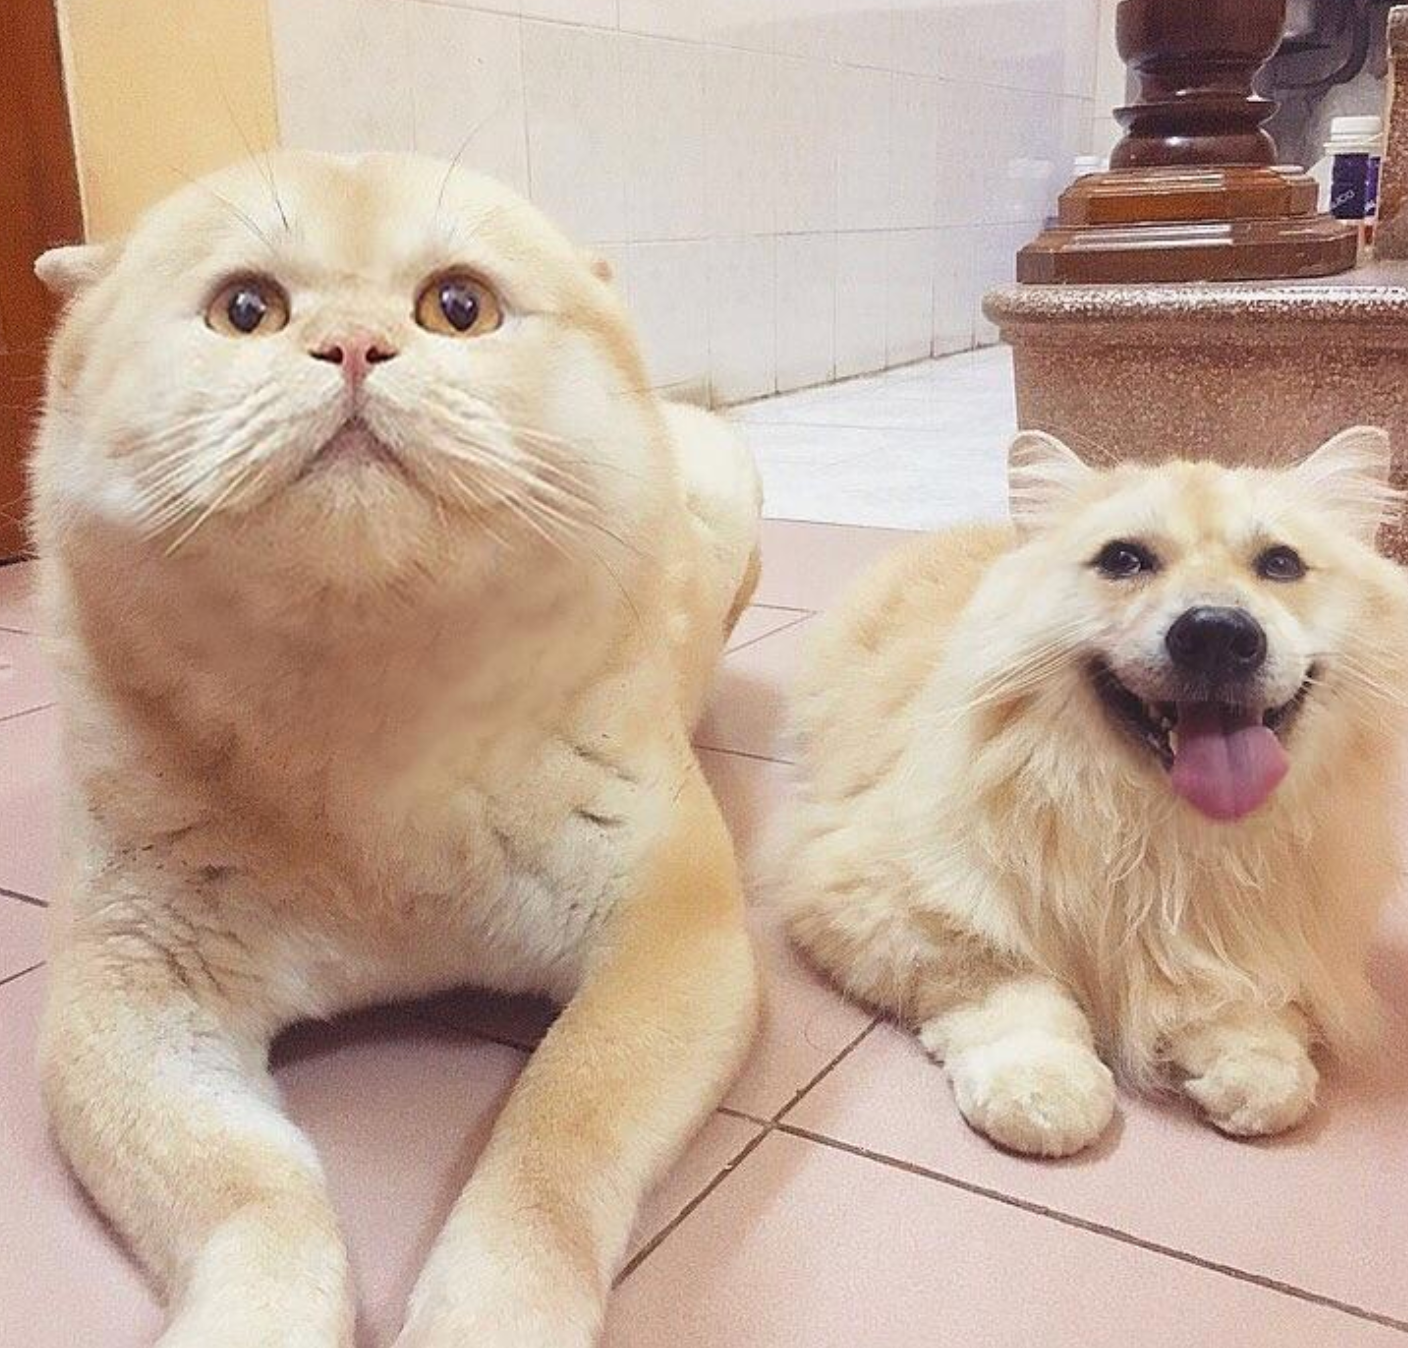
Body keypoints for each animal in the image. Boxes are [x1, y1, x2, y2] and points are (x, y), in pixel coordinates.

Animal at [32, 150, 762, 1347]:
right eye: (247, 310)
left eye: (457, 306)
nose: (354, 347)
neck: (376, 720)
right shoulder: (126, 989)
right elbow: (256, 1196)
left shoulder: (672, 935)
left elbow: (551, 1148)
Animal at [778, 429, 1408, 1157]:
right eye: (1123, 560)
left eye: (1280, 563)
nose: (1217, 632)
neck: (1156, 832)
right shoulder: (863, 893)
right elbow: (1005, 980)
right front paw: (1042, 1086)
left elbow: (1247, 1005)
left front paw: (1254, 1065)